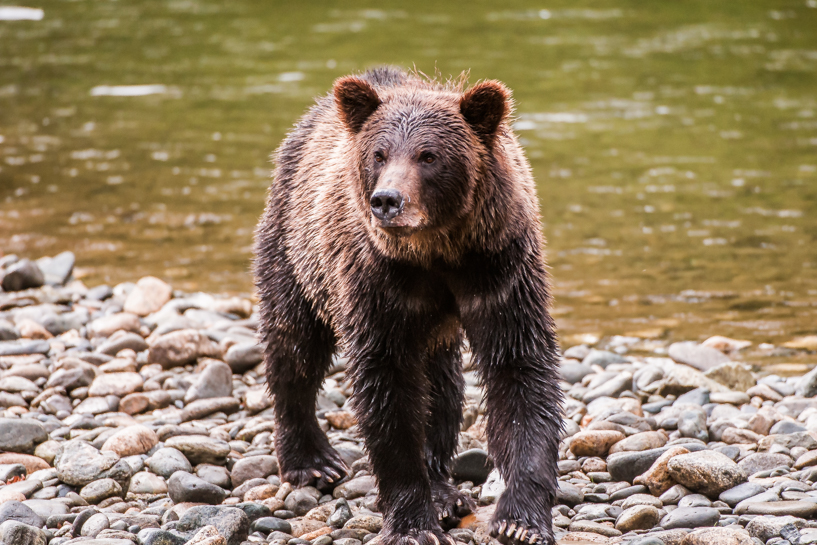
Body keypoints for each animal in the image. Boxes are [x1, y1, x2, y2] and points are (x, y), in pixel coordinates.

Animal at [254, 67, 563, 545]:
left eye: (429, 155)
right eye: (379, 154)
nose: (387, 200)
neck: (437, 252)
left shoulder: (499, 269)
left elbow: (520, 372)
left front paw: (521, 521)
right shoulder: (378, 283)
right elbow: (389, 390)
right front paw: (412, 524)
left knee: (442, 388)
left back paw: (444, 490)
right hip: (295, 249)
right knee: (294, 347)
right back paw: (312, 461)